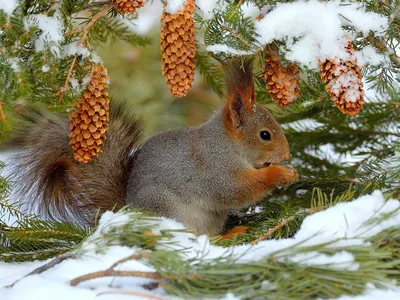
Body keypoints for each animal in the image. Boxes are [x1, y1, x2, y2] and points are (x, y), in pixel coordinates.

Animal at [10, 59, 296, 236]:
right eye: (265, 135)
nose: (287, 154)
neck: (227, 144)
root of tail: (125, 210)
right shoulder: (216, 170)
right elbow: (238, 190)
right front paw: (280, 174)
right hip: (165, 209)